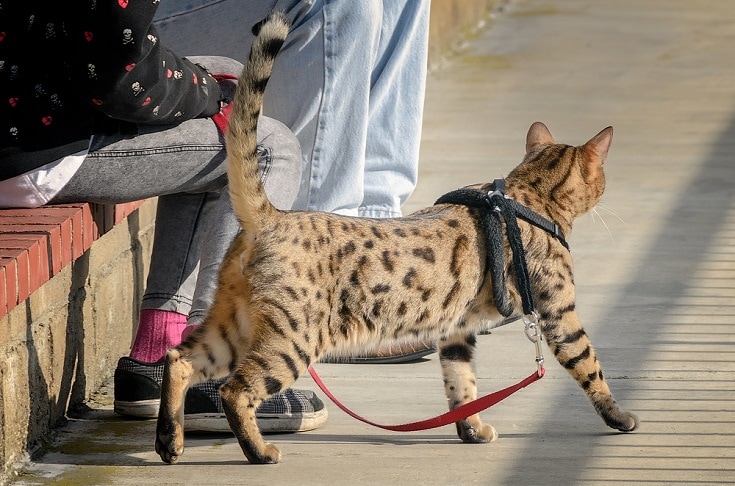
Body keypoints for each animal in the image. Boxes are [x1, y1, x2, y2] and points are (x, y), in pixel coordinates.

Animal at [154, 12, 640, 468]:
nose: (608, 187)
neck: (527, 194)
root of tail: (271, 216)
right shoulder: (559, 312)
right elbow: (590, 366)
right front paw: (620, 418)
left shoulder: (457, 329)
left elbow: (462, 383)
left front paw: (472, 428)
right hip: (291, 340)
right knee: (236, 390)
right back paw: (258, 451)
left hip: (232, 325)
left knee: (178, 360)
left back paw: (169, 441)